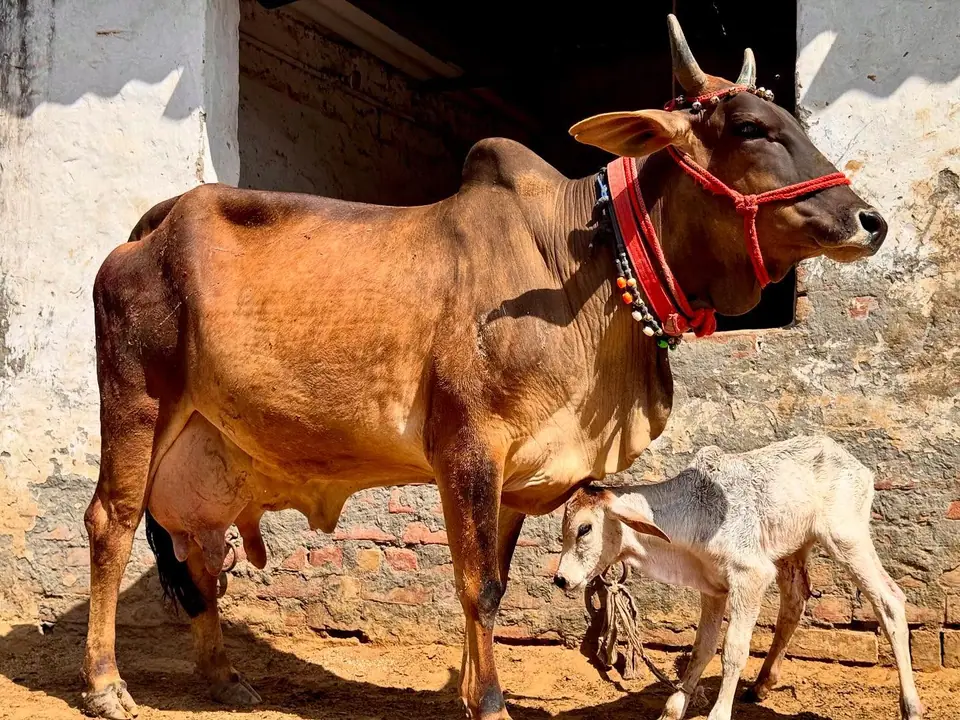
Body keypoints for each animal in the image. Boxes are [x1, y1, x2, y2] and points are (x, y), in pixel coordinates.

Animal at [81, 15, 887, 720]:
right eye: (752, 128)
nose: (870, 220)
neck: (587, 268)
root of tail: (148, 231)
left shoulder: (516, 472)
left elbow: (494, 580)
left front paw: (472, 694)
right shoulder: (468, 449)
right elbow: (476, 588)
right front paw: (492, 701)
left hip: (207, 447)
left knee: (200, 552)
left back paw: (223, 677)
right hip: (138, 402)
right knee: (110, 523)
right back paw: (106, 687)